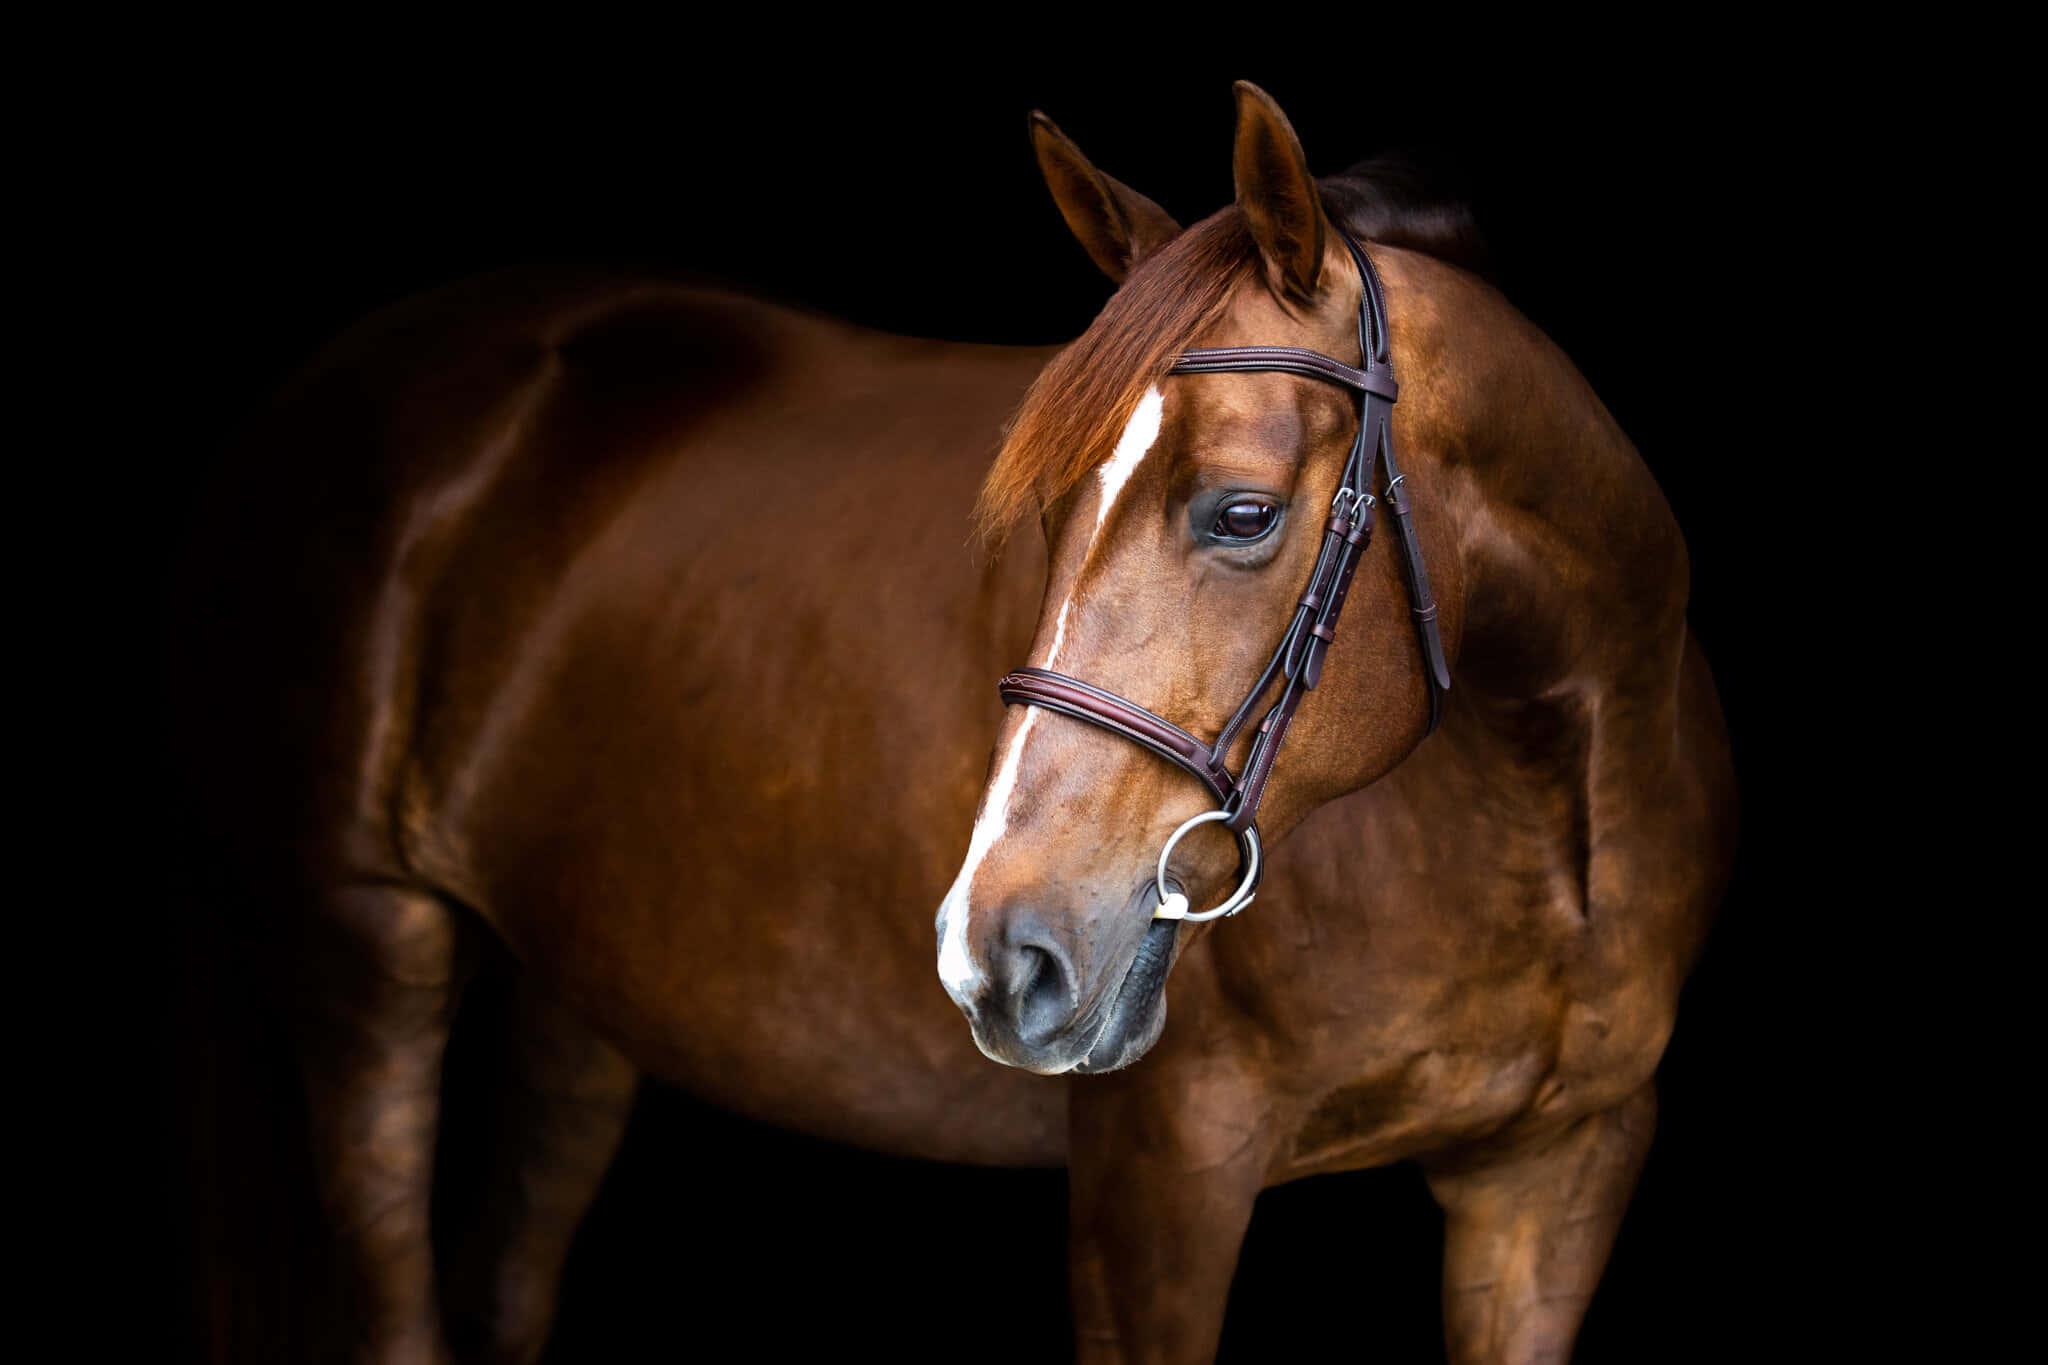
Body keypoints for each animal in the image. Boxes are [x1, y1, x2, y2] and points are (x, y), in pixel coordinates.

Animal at [175, 81, 1735, 1364]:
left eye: (1241, 514)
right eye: (1042, 518)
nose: (996, 954)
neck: (1542, 809)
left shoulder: (1560, 1175)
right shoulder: (1159, 1179)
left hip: (577, 992)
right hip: (364, 949)